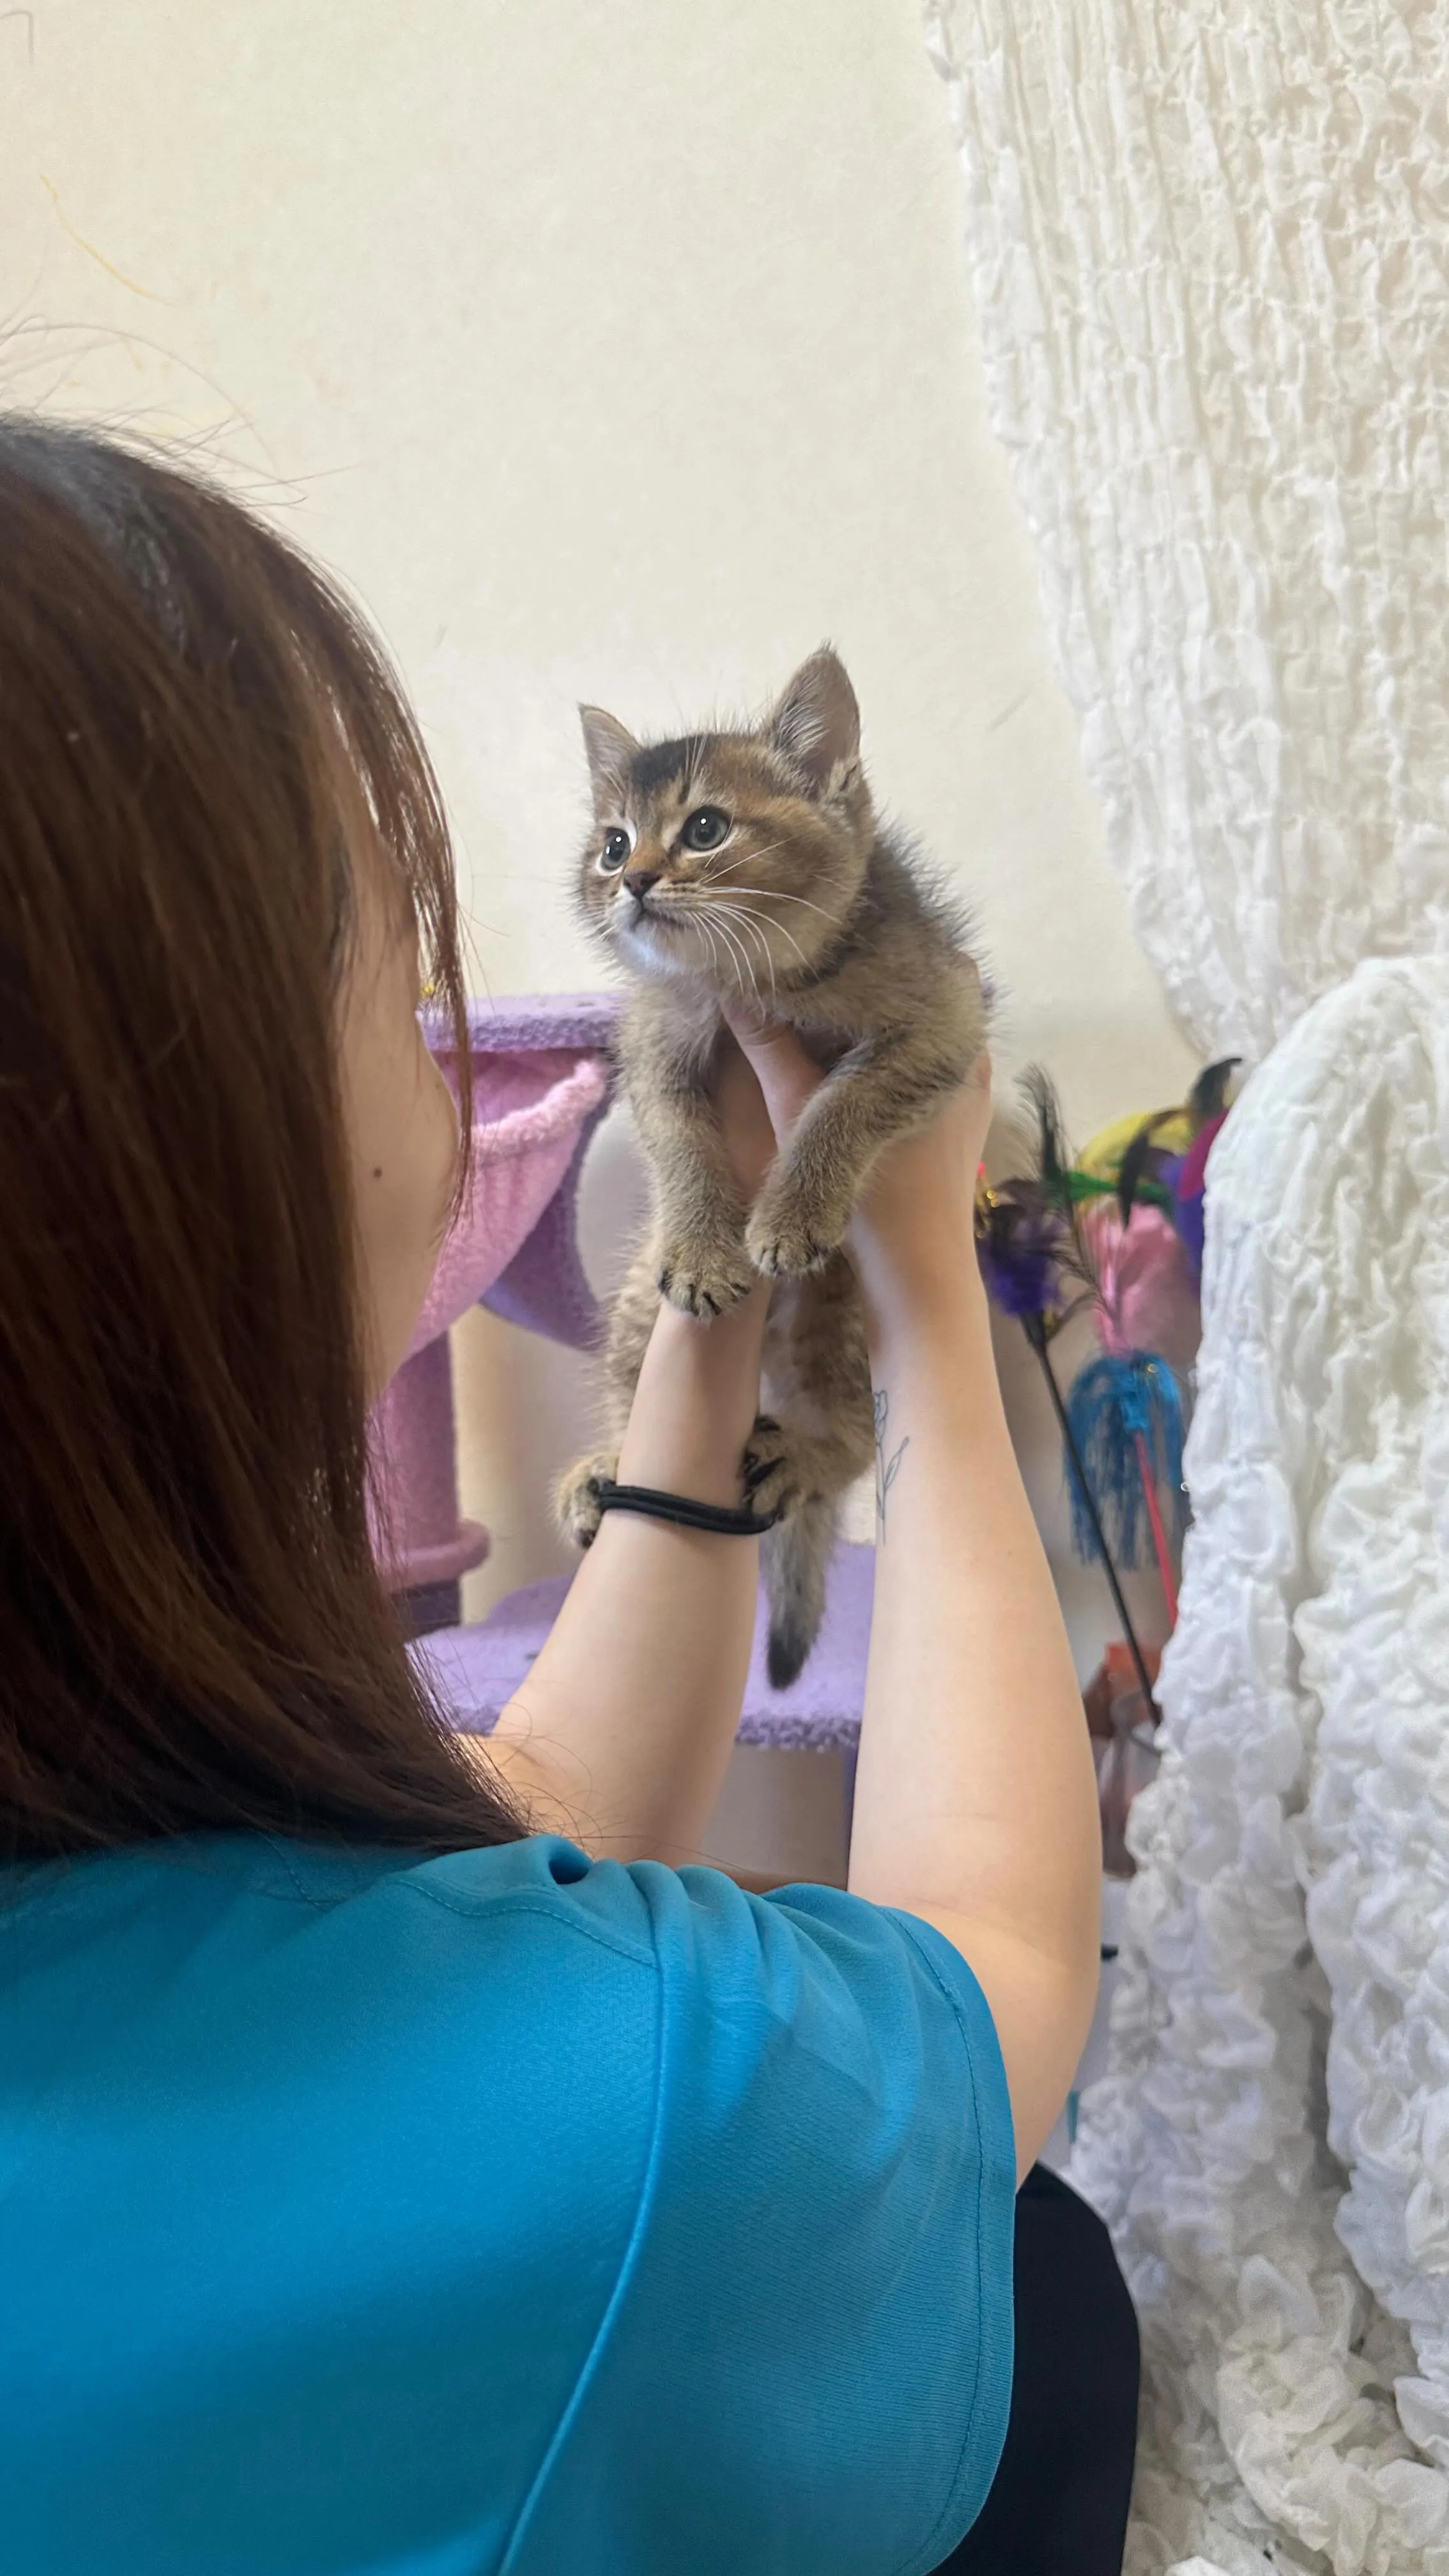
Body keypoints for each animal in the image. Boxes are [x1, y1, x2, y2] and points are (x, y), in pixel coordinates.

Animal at [551, 644, 979, 1689]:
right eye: (613, 844)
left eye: (705, 829)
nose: (634, 883)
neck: (764, 977)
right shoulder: (653, 1048)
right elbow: (684, 1148)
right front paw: (709, 1247)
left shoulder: (945, 1021)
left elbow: (841, 1104)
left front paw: (790, 1213)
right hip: (636, 1304)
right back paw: (600, 1466)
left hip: (843, 1319)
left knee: (854, 1448)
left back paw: (806, 1460)